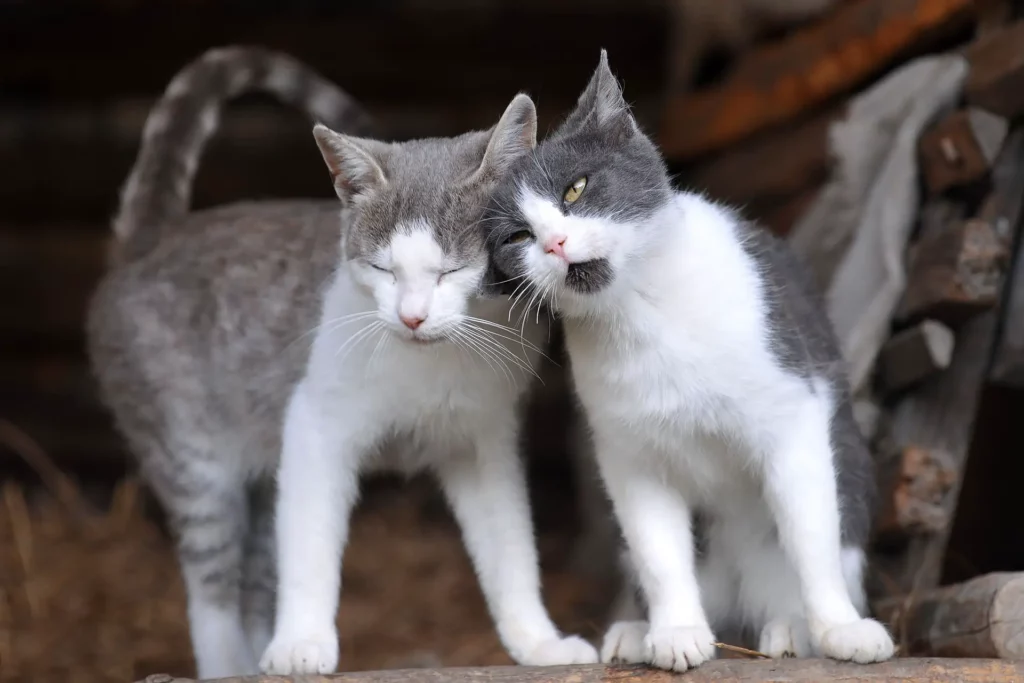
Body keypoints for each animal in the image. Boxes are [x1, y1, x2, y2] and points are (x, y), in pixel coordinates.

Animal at [88, 44, 374, 679]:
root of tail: (154, 234)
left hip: (268, 476)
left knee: (257, 583)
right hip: (194, 466)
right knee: (211, 591)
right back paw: (228, 664)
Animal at [475, 52, 892, 671]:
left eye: (576, 189)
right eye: (516, 237)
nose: (553, 244)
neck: (644, 309)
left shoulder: (793, 415)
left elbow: (811, 535)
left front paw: (840, 628)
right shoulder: (630, 455)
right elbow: (659, 551)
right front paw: (675, 632)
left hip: (849, 468)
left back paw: (791, 629)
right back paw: (635, 630)